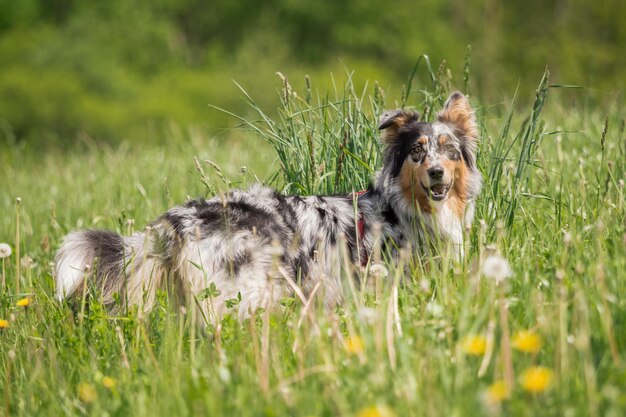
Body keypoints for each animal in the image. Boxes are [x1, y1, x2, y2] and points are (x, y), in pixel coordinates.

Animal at [54, 92, 482, 320]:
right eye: (417, 152)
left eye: (449, 150)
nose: (437, 173)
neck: (401, 210)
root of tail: (177, 217)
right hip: (243, 294)